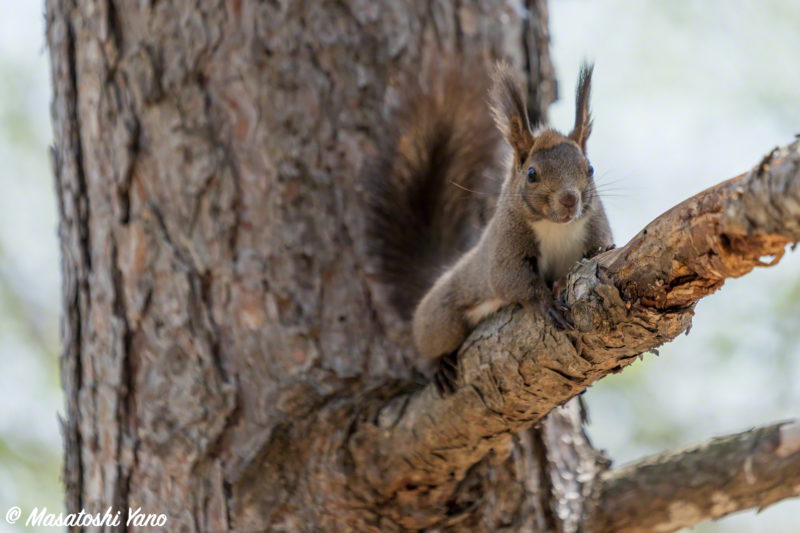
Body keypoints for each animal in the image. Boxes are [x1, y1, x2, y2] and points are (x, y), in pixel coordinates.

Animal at [368, 63, 612, 394]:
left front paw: (592, 256)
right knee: (431, 343)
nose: (569, 200)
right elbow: (511, 279)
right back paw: (438, 366)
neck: (556, 228)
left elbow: (599, 245)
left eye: (590, 169)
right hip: (442, 320)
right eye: (532, 174)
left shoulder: (595, 222)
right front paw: (544, 302)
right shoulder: (505, 243)